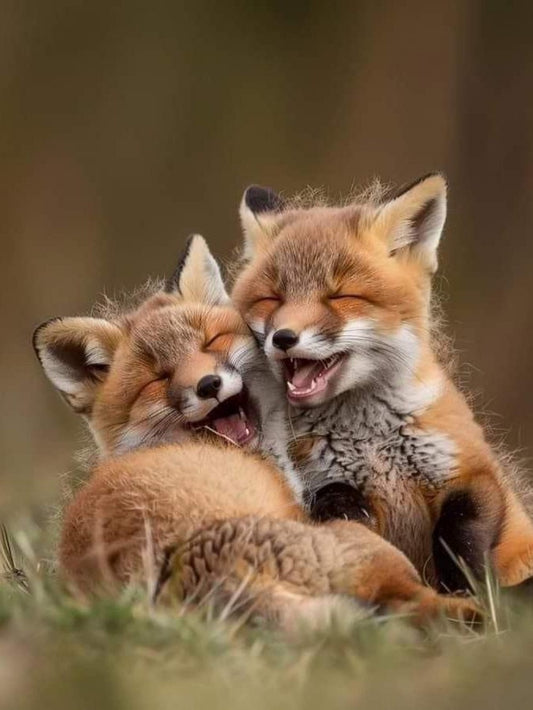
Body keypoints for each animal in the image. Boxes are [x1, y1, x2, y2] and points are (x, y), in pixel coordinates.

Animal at [32, 234, 478, 628]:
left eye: (212, 342)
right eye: (157, 379)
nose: (208, 385)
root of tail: (208, 573)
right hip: (365, 551)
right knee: (421, 606)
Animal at [232, 175, 533, 592]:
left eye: (341, 296)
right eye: (272, 298)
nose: (284, 338)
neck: (371, 443)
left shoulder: (473, 471)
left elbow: (459, 533)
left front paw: (468, 591)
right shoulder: (309, 478)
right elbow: (329, 499)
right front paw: (342, 506)